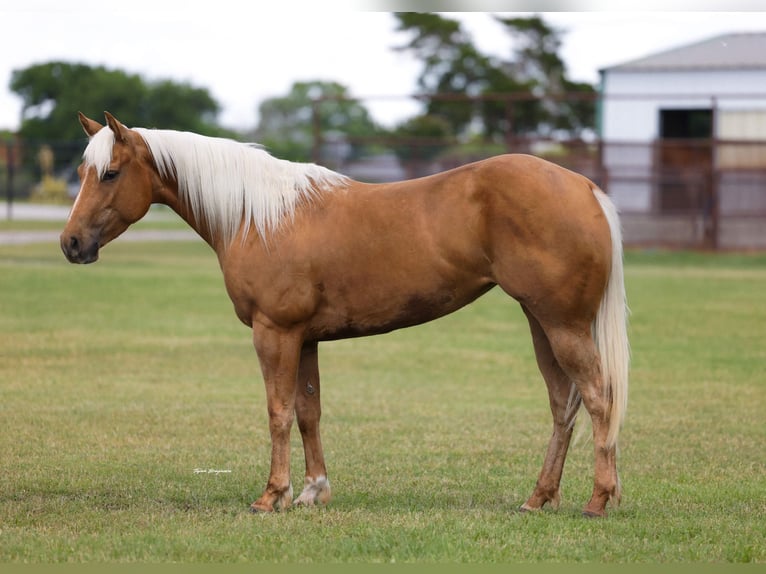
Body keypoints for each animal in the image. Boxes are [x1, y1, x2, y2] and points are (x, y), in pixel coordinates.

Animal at [61, 112, 629, 517]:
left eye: (110, 173)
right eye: (83, 172)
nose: (71, 244)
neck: (259, 216)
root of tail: (583, 187)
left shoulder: (275, 333)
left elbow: (278, 411)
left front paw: (272, 495)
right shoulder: (305, 338)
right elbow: (308, 411)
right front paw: (314, 492)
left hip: (562, 326)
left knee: (597, 399)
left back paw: (597, 500)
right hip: (541, 324)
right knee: (563, 405)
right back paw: (538, 498)